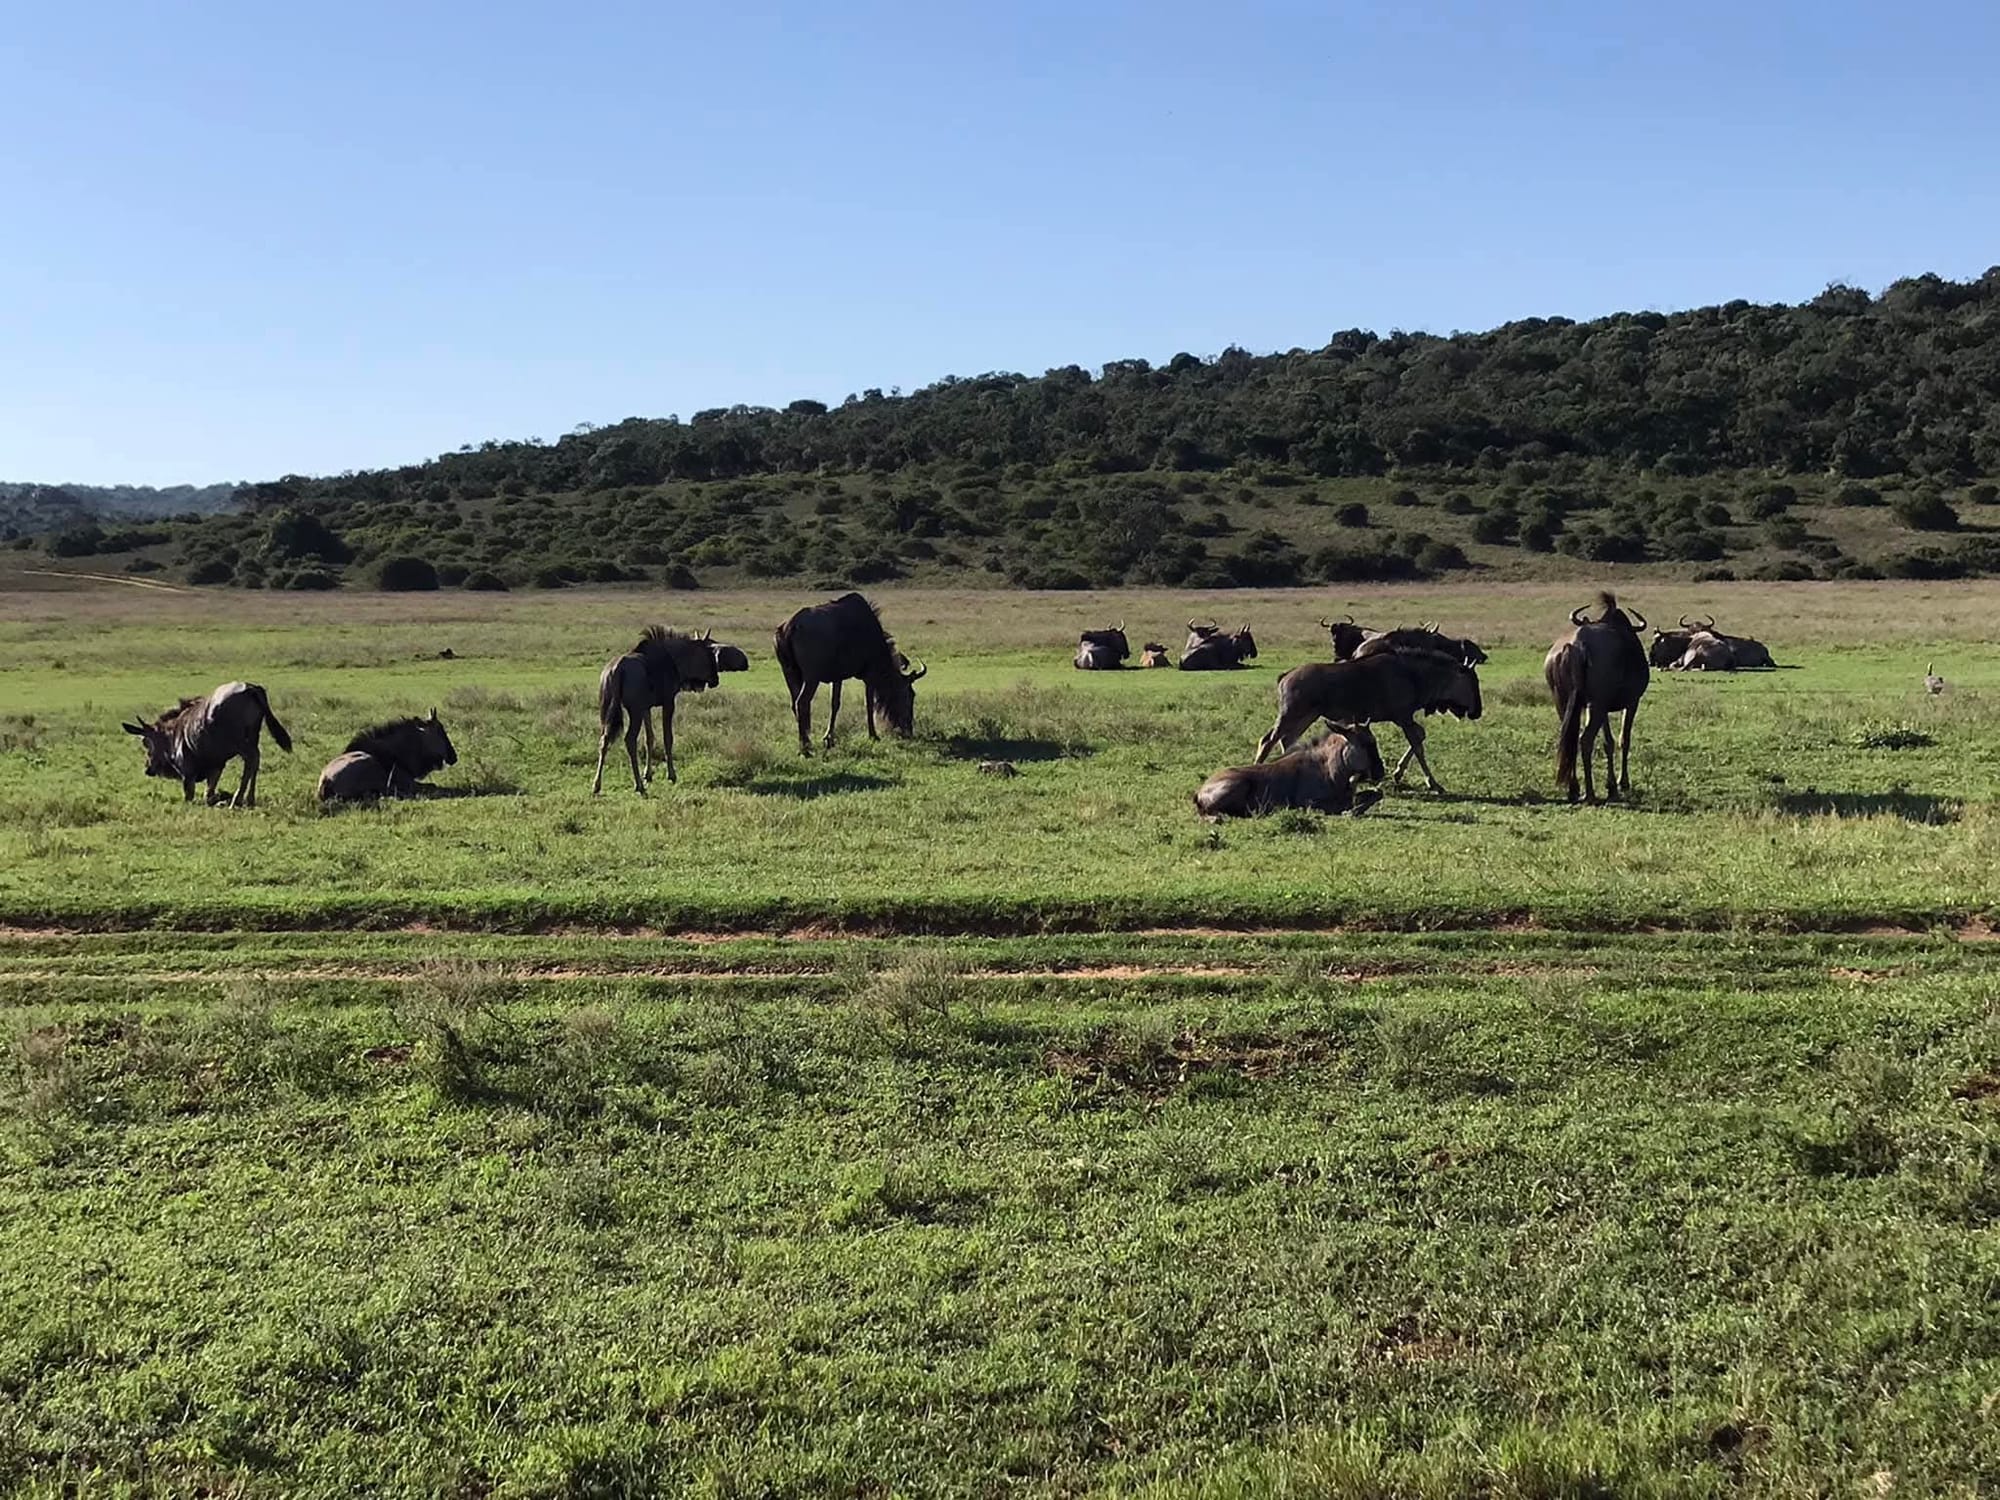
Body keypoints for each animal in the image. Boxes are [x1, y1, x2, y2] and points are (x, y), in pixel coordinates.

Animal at [122, 682, 292, 808]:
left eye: (145, 742)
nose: (147, 768)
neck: (173, 733)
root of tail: (250, 688)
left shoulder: (188, 773)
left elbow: (190, 796)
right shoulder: (217, 766)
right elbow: (208, 795)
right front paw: (220, 798)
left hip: (240, 743)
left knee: (251, 759)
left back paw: (237, 800)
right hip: (253, 736)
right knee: (255, 761)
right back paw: (249, 800)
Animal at [775, 593, 925, 754]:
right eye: (910, 695)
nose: (909, 731)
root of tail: (789, 627)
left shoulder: (837, 677)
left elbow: (835, 704)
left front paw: (829, 739)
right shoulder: (869, 676)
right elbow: (869, 704)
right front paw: (873, 736)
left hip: (790, 672)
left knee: (794, 703)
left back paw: (805, 741)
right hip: (811, 677)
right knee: (802, 702)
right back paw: (806, 748)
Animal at [1196, 724, 1385, 818]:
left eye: (1374, 741)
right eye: (1364, 744)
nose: (1380, 771)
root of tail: (1199, 792)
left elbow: (1377, 793)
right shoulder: (1309, 802)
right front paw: (1351, 811)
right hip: (1240, 784)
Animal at [1254, 651, 1482, 792]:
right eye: (1473, 681)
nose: (1478, 712)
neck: (1412, 674)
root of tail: (1285, 675)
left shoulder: (1404, 719)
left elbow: (1420, 737)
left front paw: (1398, 773)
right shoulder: (1403, 718)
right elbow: (1418, 745)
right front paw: (1433, 784)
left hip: (1306, 716)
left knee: (1286, 740)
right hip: (1291, 714)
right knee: (1268, 740)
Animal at [1546, 592, 1650, 803]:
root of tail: (1577, 646)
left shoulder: (1599, 707)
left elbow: (1608, 741)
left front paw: (1611, 787)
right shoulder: (1631, 702)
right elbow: (1623, 739)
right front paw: (1622, 783)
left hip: (1564, 702)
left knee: (1569, 737)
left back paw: (1574, 789)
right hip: (1596, 705)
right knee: (1584, 740)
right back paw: (1590, 794)